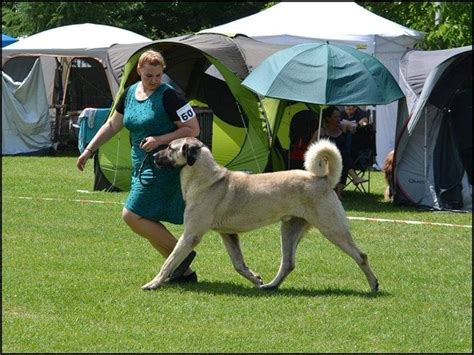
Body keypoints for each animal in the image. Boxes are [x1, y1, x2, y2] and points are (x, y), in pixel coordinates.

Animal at [143, 138, 380, 294]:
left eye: (170, 148)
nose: (153, 156)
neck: (207, 179)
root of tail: (323, 179)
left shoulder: (191, 235)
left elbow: (169, 261)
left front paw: (153, 283)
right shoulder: (229, 235)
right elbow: (239, 264)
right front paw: (256, 279)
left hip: (332, 228)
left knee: (361, 256)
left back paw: (374, 285)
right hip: (289, 230)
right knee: (288, 263)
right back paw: (270, 286)